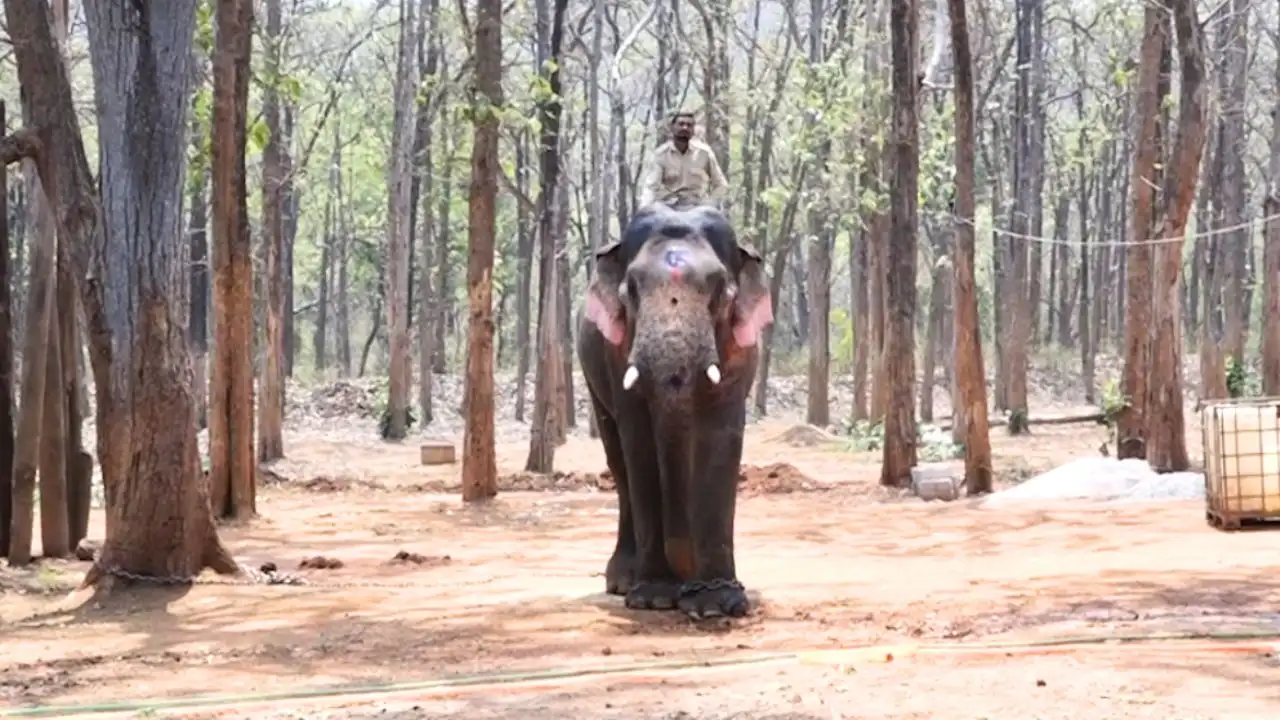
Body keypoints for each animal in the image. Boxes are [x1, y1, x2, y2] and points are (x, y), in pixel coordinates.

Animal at [577, 203, 774, 619]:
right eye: (632, 290)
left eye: (719, 289)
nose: (688, 580)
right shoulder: (616, 354)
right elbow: (640, 440)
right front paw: (655, 597)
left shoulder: (741, 354)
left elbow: (720, 438)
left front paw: (717, 603)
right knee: (618, 462)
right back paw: (624, 582)